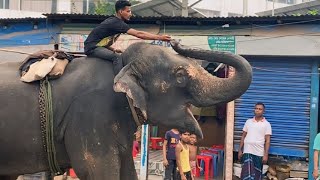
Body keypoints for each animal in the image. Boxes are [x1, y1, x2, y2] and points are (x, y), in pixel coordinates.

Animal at [0, 41, 251, 180]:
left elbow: (127, 169)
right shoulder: (88, 115)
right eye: (180, 76)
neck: (121, 64)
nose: (175, 40)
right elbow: (95, 171)